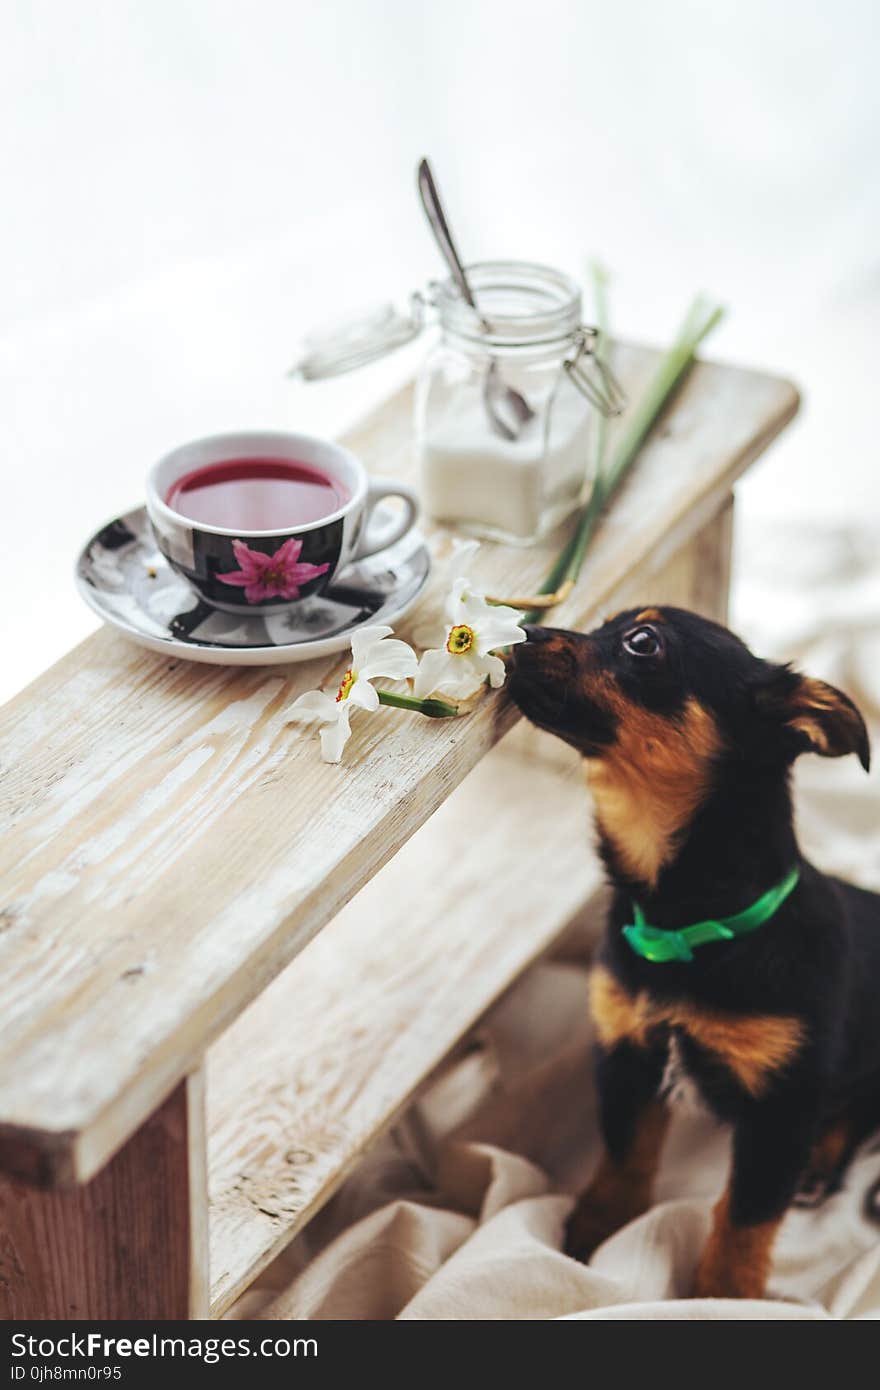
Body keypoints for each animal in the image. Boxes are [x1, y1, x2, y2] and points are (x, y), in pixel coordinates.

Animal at [503, 608, 873, 1301]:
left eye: (642, 643)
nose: (522, 630)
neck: (690, 925)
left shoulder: (782, 1106)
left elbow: (745, 1216)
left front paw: (723, 1296)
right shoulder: (627, 1052)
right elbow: (626, 1155)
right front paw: (593, 1233)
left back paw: (821, 1162)